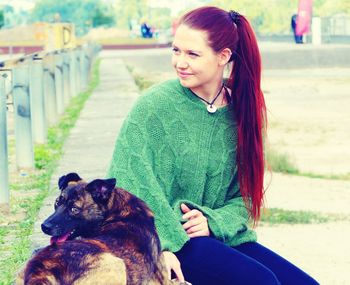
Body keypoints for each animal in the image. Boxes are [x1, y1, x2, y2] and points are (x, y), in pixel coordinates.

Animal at [16, 172, 182, 282]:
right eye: (57, 203)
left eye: (74, 209)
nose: (44, 226)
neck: (117, 209)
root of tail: (41, 269)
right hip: (116, 265)